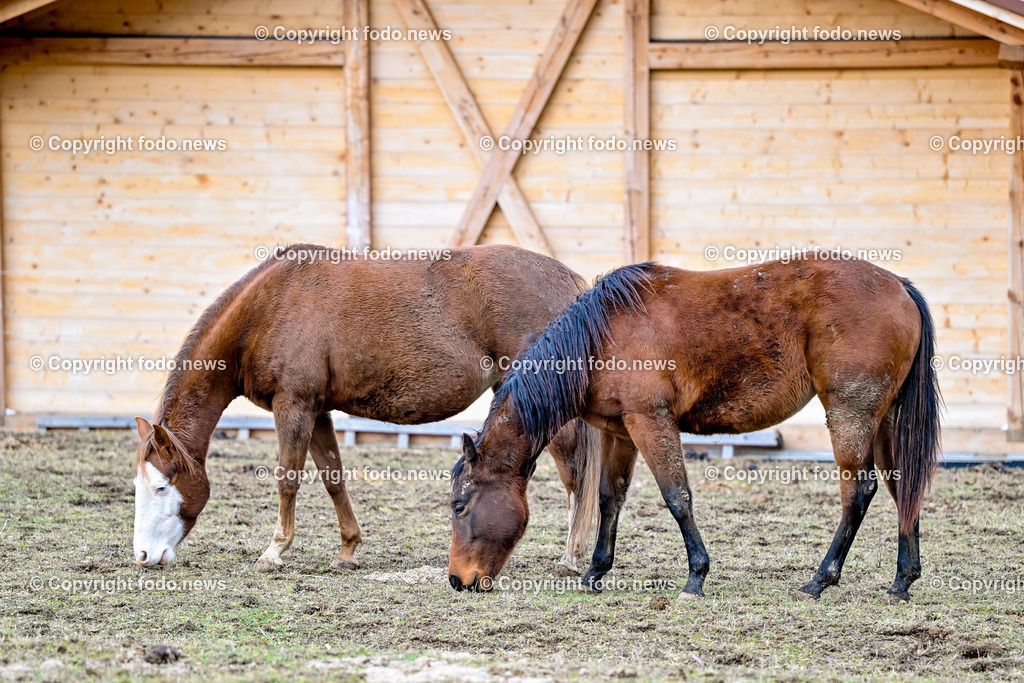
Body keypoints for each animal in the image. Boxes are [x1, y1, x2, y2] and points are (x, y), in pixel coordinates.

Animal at [132, 243, 600, 574]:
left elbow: (288, 478)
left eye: (161, 488)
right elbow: (333, 477)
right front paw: (348, 548)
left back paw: (572, 555)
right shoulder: (317, 411)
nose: (143, 555)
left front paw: (275, 550)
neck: (269, 305)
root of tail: (569, 281)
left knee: (574, 475)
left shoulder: (294, 405)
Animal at [448, 257, 940, 603]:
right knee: (903, 489)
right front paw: (595, 572)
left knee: (858, 492)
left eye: (458, 505)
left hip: (850, 415)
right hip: (883, 420)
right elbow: (610, 499)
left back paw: (820, 579)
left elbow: (677, 498)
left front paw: (696, 576)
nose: (457, 579)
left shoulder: (650, 421)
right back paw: (902, 581)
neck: (599, 335)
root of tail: (900, 287)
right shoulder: (619, 431)